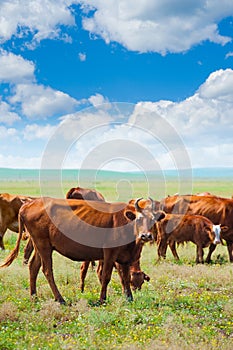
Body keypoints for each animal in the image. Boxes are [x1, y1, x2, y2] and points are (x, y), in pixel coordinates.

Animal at [1, 197, 166, 304]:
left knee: (33, 267)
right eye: (139, 219)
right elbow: (105, 276)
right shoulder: (109, 254)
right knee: (47, 270)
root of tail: (29, 204)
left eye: (153, 220)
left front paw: (129, 298)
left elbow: (124, 277)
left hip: (39, 246)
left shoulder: (124, 258)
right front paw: (102, 299)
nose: (146, 235)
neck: (125, 222)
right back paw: (60, 299)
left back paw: (34, 297)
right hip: (44, 246)